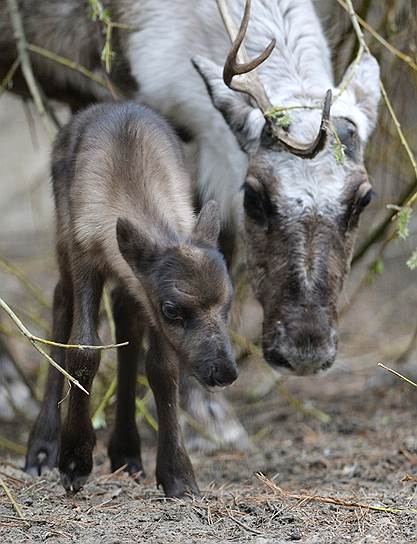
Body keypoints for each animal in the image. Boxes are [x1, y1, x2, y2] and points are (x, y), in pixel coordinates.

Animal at [24, 102, 236, 498]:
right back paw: (42, 447)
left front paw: (177, 475)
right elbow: (84, 350)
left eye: (227, 305)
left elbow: (162, 369)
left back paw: (126, 451)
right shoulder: (85, 254)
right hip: (61, 235)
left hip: (126, 284)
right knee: (61, 301)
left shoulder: (143, 287)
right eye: (173, 310)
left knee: (125, 317)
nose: (224, 372)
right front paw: (74, 460)